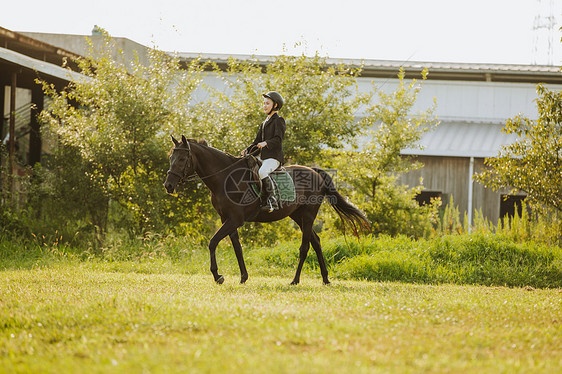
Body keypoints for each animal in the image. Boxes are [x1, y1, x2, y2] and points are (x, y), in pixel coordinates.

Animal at [164, 136, 370, 284]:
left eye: (182, 159)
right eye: (170, 158)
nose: (168, 185)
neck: (225, 178)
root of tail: (314, 171)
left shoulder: (235, 220)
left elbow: (213, 242)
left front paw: (218, 276)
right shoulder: (227, 219)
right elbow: (237, 247)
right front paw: (243, 277)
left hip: (308, 215)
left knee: (305, 247)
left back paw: (295, 280)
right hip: (298, 216)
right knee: (316, 242)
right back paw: (325, 279)